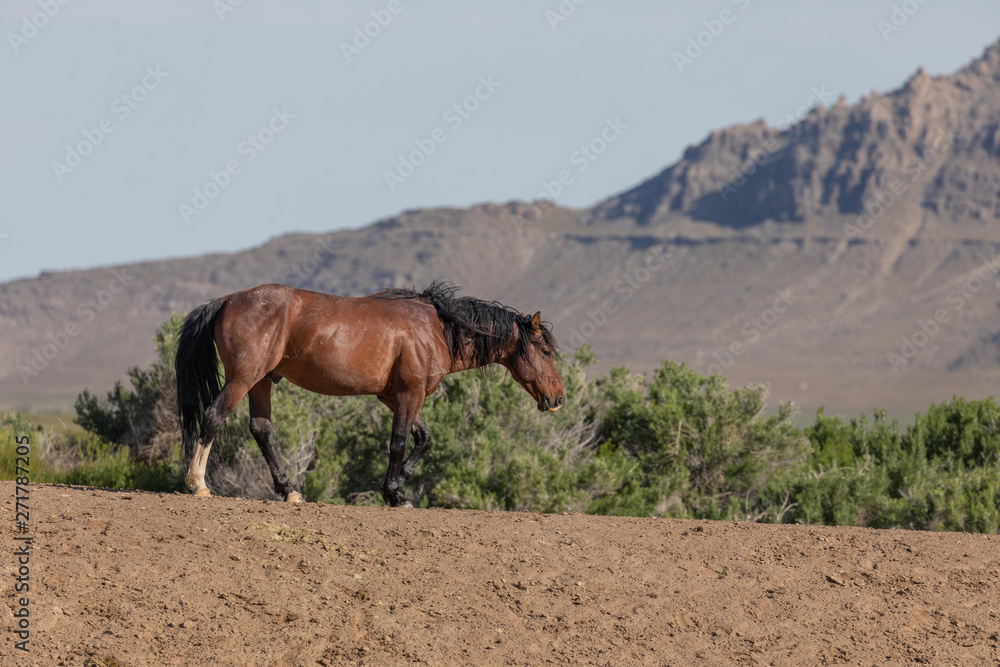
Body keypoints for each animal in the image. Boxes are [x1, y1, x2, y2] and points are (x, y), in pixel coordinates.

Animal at [174, 281, 564, 507]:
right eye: (546, 352)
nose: (558, 399)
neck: (438, 328)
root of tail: (227, 301)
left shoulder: (394, 396)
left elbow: (423, 440)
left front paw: (399, 487)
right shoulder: (409, 394)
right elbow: (399, 443)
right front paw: (393, 492)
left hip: (261, 382)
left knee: (261, 430)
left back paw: (290, 491)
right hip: (243, 379)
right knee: (213, 417)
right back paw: (198, 484)